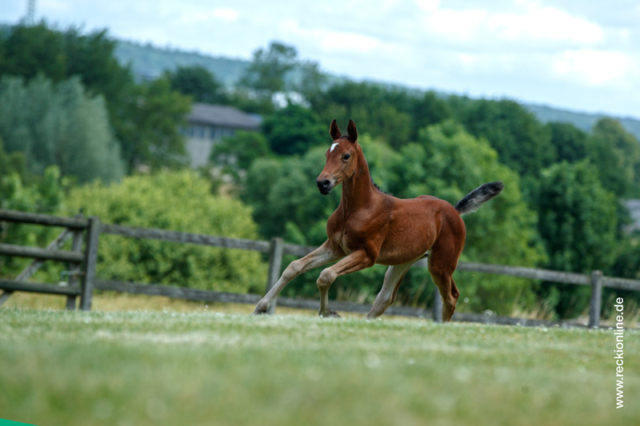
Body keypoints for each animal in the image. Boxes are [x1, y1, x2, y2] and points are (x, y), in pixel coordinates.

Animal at [252, 119, 502, 320]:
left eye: (346, 155)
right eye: (326, 154)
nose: (322, 183)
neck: (356, 209)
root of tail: (455, 211)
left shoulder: (367, 255)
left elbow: (326, 275)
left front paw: (328, 312)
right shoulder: (335, 247)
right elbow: (293, 267)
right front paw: (260, 308)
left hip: (441, 265)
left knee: (451, 297)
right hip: (403, 261)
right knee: (385, 298)